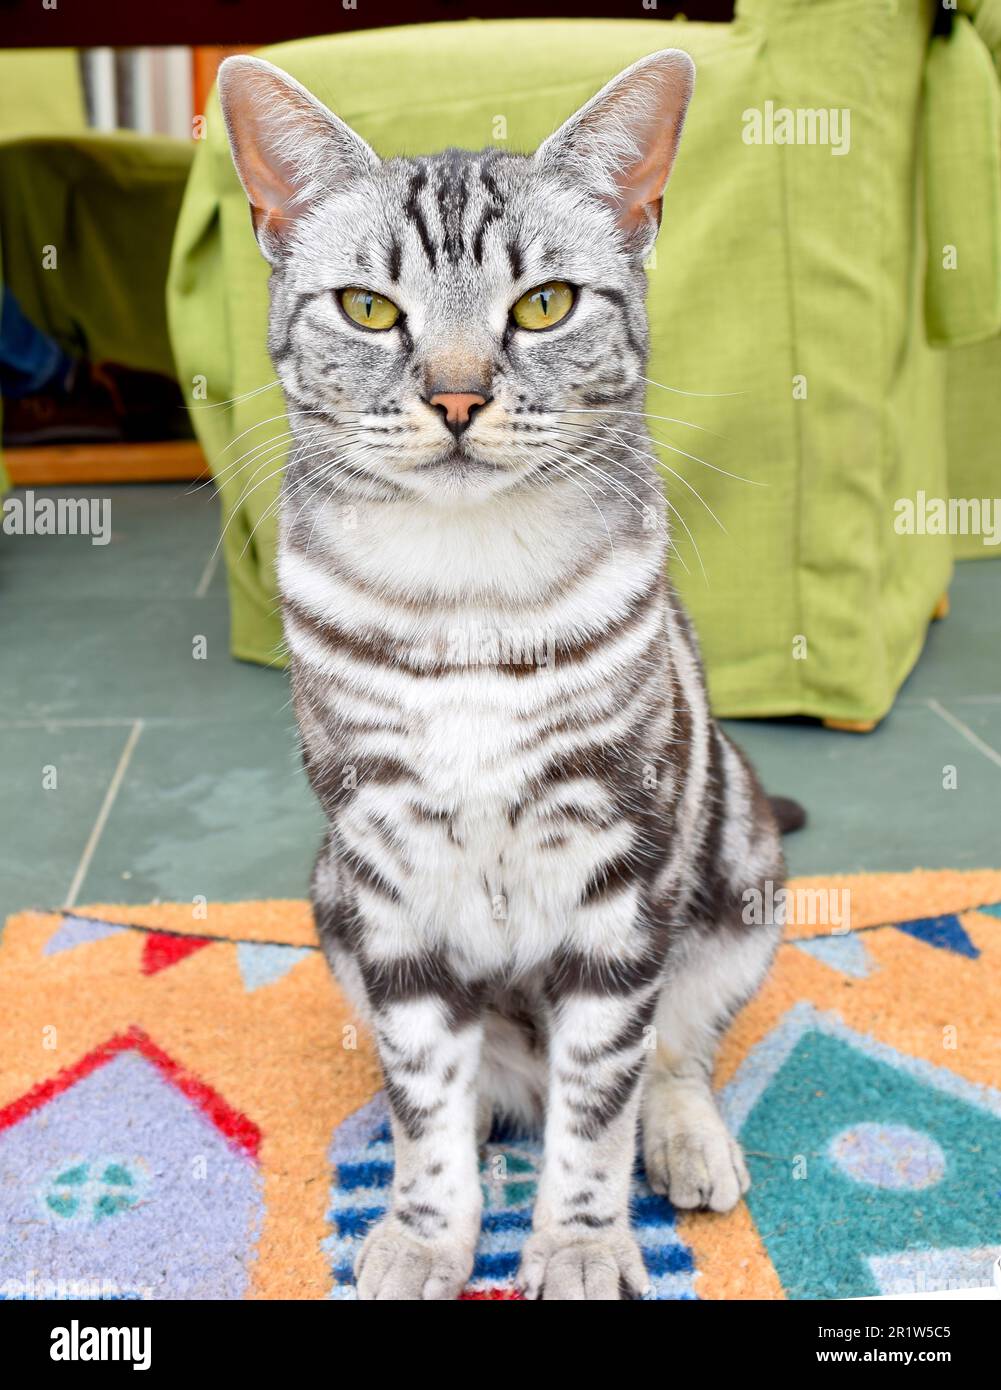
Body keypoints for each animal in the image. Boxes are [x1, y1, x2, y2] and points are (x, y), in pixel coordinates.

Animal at [221, 46, 789, 1301]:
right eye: (368, 309)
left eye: (542, 305)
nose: (455, 394)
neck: (466, 600)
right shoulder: (386, 873)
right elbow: (423, 1085)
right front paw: (427, 1230)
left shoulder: (615, 873)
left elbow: (596, 1108)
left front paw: (579, 1243)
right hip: (329, 894)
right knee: (467, 1083)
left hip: (739, 865)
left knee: (673, 1053)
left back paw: (683, 1139)